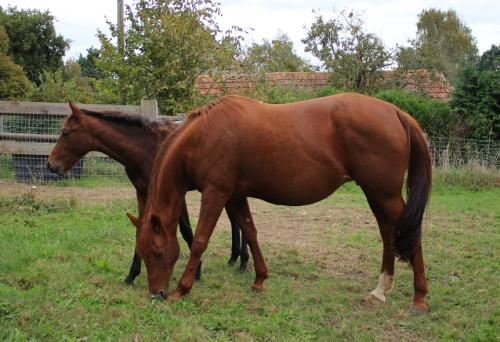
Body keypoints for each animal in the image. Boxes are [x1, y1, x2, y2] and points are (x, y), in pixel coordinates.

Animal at [47, 103, 248, 284]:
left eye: (65, 133)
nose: (51, 165)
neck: (147, 149)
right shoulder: (142, 193)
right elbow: (140, 229)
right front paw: (132, 274)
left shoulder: (176, 194)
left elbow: (186, 230)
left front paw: (197, 272)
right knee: (236, 221)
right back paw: (234, 259)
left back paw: (243, 263)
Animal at [130, 93, 434, 312]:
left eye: (157, 253)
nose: (157, 293)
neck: (203, 136)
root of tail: (395, 112)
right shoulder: (236, 195)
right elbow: (250, 232)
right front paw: (259, 279)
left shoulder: (216, 193)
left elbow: (200, 241)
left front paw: (182, 289)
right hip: (376, 194)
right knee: (388, 233)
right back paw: (381, 289)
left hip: (386, 195)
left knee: (412, 234)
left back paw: (419, 298)